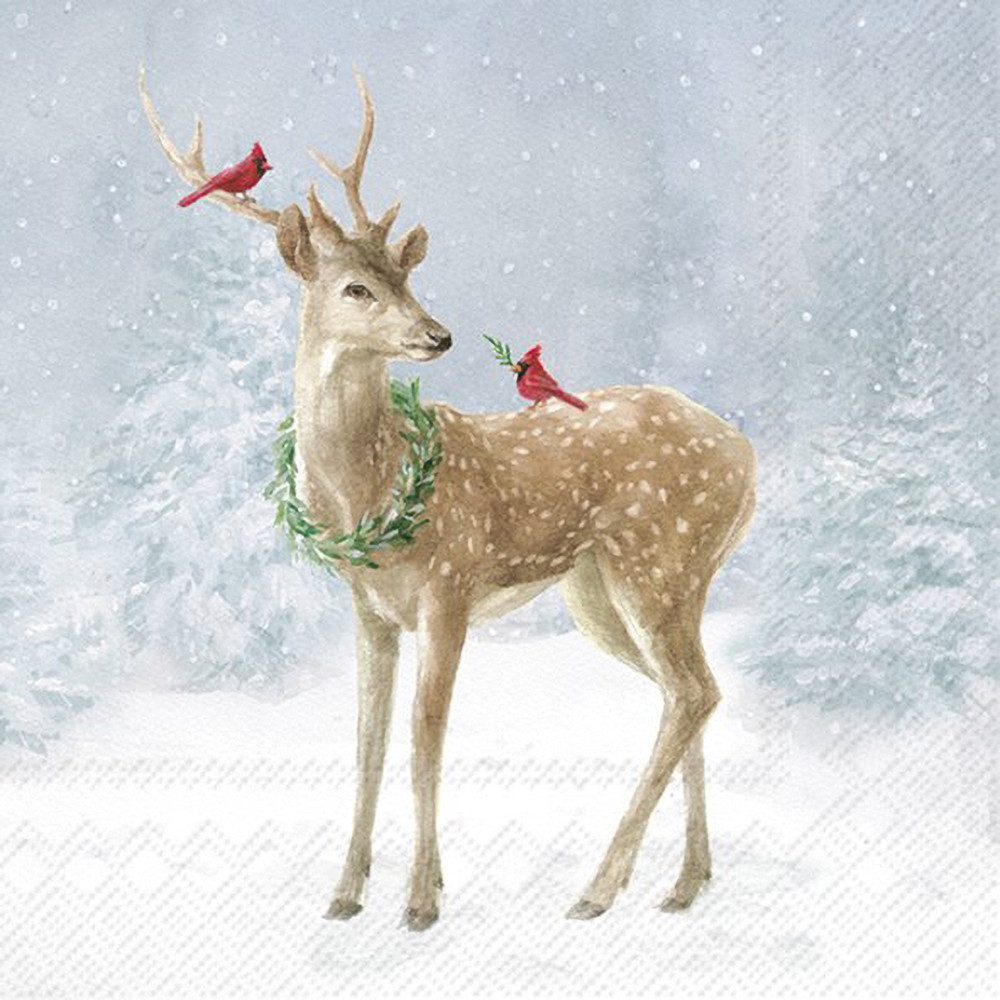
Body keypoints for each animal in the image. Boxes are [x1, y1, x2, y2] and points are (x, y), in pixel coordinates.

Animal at [139, 66, 757, 931]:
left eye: (409, 277)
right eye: (357, 287)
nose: (437, 335)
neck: (365, 496)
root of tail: (748, 458)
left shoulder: (449, 588)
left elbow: (424, 743)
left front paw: (423, 899)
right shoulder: (370, 610)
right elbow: (367, 746)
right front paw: (345, 893)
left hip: (658, 558)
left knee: (692, 691)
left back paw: (599, 888)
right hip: (612, 588)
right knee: (690, 692)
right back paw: (683, 882)